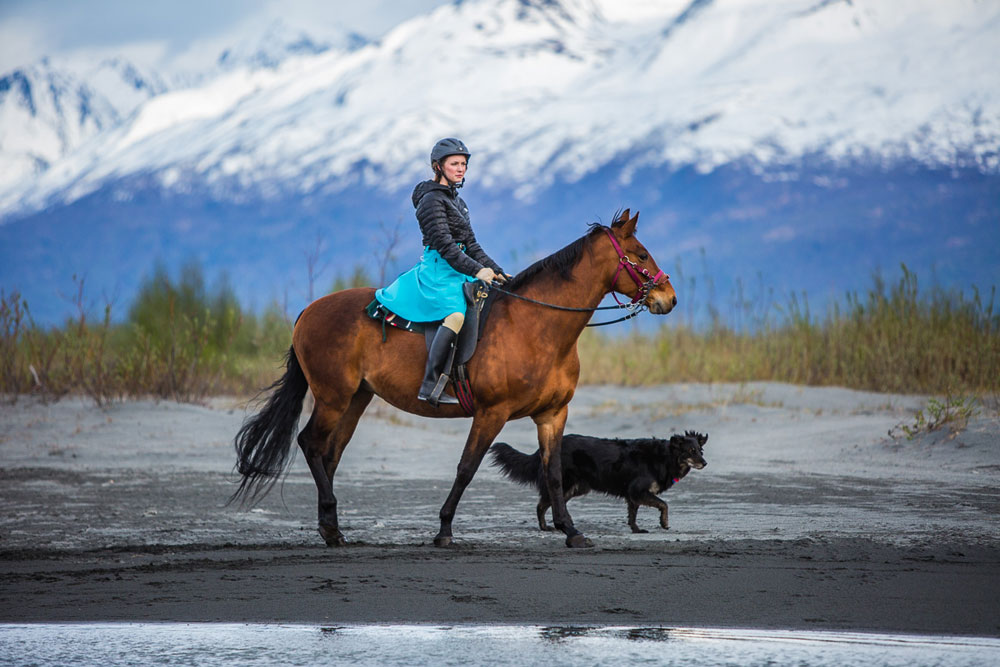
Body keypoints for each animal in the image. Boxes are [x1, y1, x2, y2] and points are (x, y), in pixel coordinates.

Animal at [230, 209, 676, 548]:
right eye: (640, 254)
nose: (668, 299)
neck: (536, 326)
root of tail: (309, 310)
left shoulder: (553, 415)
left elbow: (553, 474)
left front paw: (571, 532)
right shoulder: (492, 413)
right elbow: (467, 467)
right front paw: (444, 530)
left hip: (356, 399)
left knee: (329, 453)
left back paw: (331, 528)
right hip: (332, 397)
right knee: (310, 444)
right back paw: (331, 526)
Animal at [488, 434, 708, 532]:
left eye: (700, 450)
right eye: (691, 451)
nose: (705, 463)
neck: (664, 457)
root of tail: (544, 451)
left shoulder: (633, 495)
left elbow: (633, 515)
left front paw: (636, 530)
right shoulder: (638, 490)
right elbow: (664, 505)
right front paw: (664, 523)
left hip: (576, 488)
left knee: (554, 504)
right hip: (567, 484)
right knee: (542, 505)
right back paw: (545, 527)